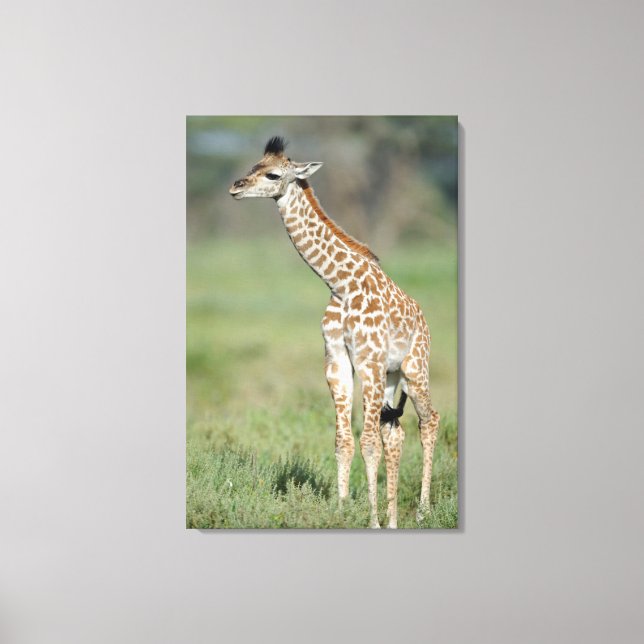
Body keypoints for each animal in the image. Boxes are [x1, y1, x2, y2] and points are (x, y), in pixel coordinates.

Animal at [229, 136, 440, 528]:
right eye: (254, 166)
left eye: (273, 174)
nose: (235, 187)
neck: (339, 283)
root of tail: (423, 320)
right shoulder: (337, 360)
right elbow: (344, 441)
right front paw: (342, 512)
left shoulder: (368, 361)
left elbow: (367, 443)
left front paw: (371, 521)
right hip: (392, 376)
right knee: (395, 432)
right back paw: (394, 520)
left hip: (414, 368)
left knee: (428, 420)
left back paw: (422, 512)